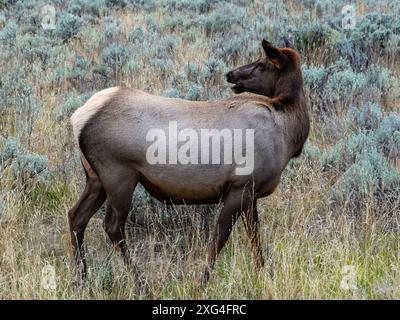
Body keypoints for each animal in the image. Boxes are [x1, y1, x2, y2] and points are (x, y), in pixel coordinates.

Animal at [69, 37, 310, 284]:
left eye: (262, 64)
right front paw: (201, 281)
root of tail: (78, 118)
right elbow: (220, 236)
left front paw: (264, 275)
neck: (287, 135)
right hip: (119, 175)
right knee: (112, 226)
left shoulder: (251, 193)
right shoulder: (240, 186)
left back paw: (82, 278)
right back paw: (140, 282)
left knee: (76, 216)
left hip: (95, 178)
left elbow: (255, 237)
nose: (230, 74)